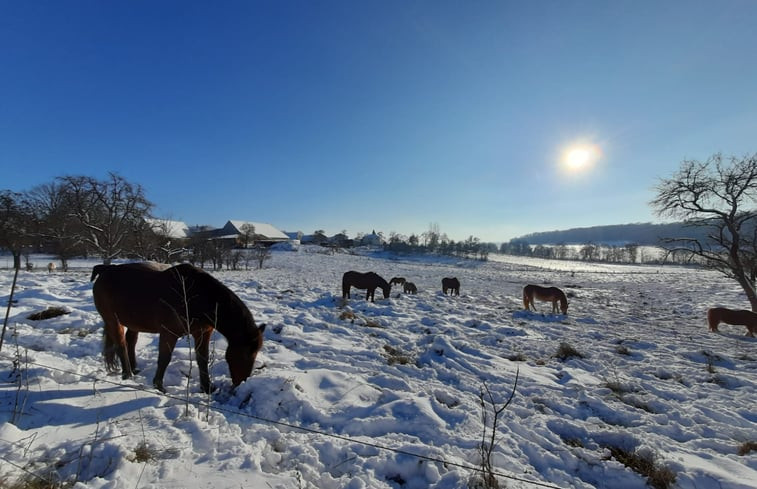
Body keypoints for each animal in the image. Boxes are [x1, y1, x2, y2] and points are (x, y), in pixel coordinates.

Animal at [92, 264, 266, 392]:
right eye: (246, 355)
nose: (240, 383)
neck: (195, 296)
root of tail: (104, 270)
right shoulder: (169, 333)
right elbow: (164, 358)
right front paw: (159, 386)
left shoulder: (202, 333)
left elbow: (202, 359)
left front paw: (207, 387)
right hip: (112, 320)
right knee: (121, 344)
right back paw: (127, 374)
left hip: (134, 322)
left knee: (130, 342)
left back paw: (134, 370)